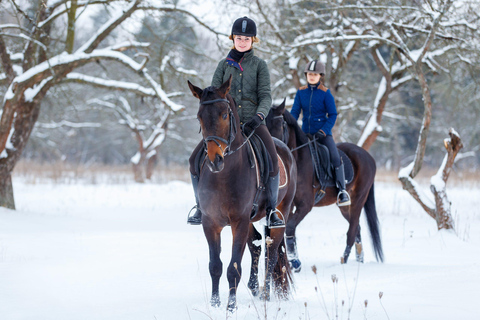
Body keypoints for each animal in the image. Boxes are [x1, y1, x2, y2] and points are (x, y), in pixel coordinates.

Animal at [187, 76, 296, 312]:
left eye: (224, 114)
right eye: (200, 116)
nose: (215, 160)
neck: (224, 175)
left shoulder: (239, 221)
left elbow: (233, 267)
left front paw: (230, 306)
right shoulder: (210, 223)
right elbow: (215, 265)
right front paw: (215, 303)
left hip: (279, 214)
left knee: (271, 253)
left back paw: (265, 294)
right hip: (249, 220)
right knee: (256, 245)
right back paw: (255, 288)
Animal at [266, 100, 382, 270]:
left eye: (280, 125)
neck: (298, 160)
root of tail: (368, 157)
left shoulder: (305, 205)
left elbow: (290, 227)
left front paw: (294, 261)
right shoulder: (289, 205)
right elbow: (289, 229)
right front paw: (294, 260)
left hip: (358, 200)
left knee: (352, 230)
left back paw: (344, 260)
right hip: (344, 207)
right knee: (357, 228)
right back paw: (359, 259)